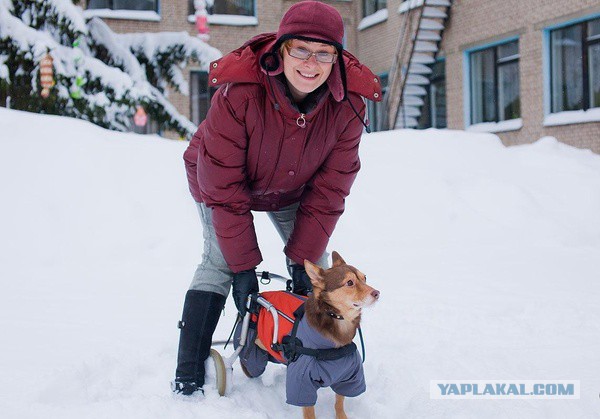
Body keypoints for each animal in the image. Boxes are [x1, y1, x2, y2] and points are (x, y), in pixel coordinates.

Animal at [296, 253, 380, 419]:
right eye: (349, 282)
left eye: (365, 278)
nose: (377, 293)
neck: (339, 319)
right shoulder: (303, 381)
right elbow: (309, 412)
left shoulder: (349, 375)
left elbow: (339, 402)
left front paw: (341, 416)